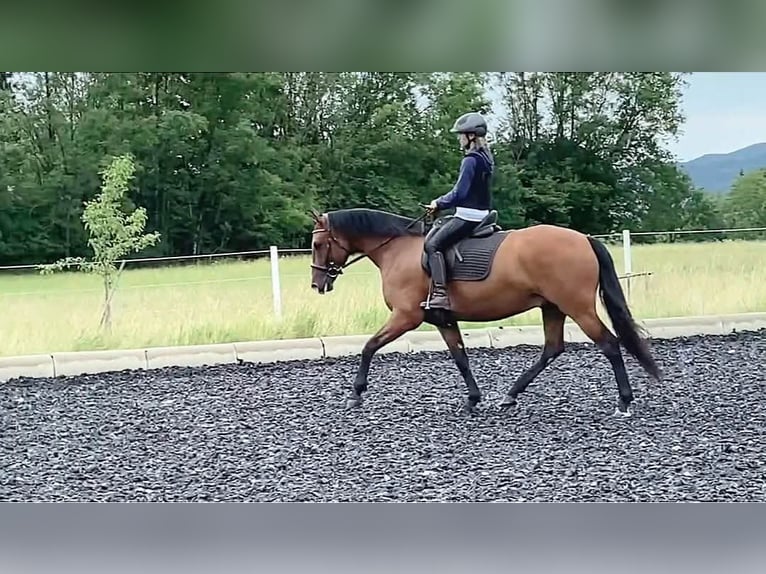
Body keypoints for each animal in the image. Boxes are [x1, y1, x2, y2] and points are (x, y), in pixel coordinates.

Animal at [309, 206, 662, 417]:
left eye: (318, 245)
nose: (317, 284)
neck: (398, 250)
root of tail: (585, 239)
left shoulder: (405, 316)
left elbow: (369, 346)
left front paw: (356, 393)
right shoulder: (443, 320)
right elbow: (461, 358)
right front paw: (473, 399)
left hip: (577, 307)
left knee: (609, 344)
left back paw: (624, 401)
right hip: (553, 307)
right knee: (552, 348)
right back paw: (510, 395)